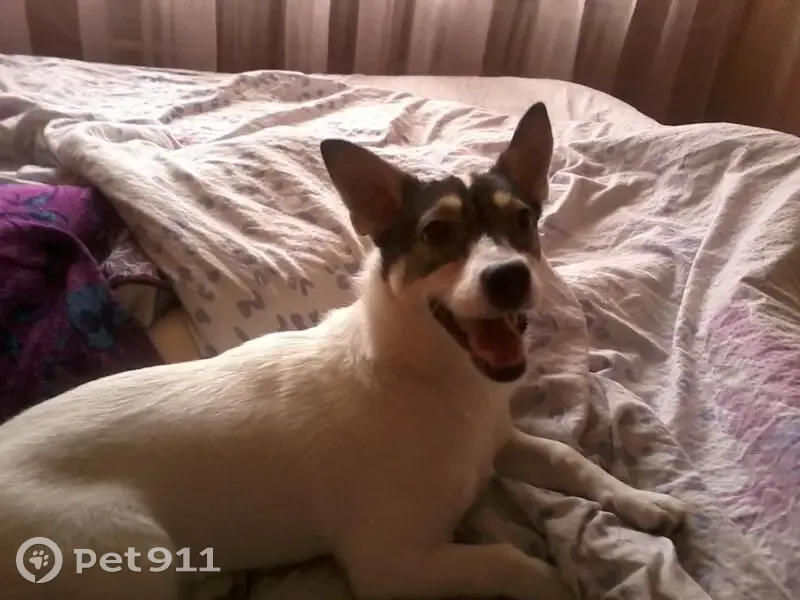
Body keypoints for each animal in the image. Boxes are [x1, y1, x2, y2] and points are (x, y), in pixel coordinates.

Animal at [0, 101, 687, 600]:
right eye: (438, 233)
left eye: (522, 220)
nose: (510, 277)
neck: (429, 377)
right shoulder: (390, 565)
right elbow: (510, 560)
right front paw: (554, 578)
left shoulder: (499, 442)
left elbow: (570, 458)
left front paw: (643, 502)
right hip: (131, 552)